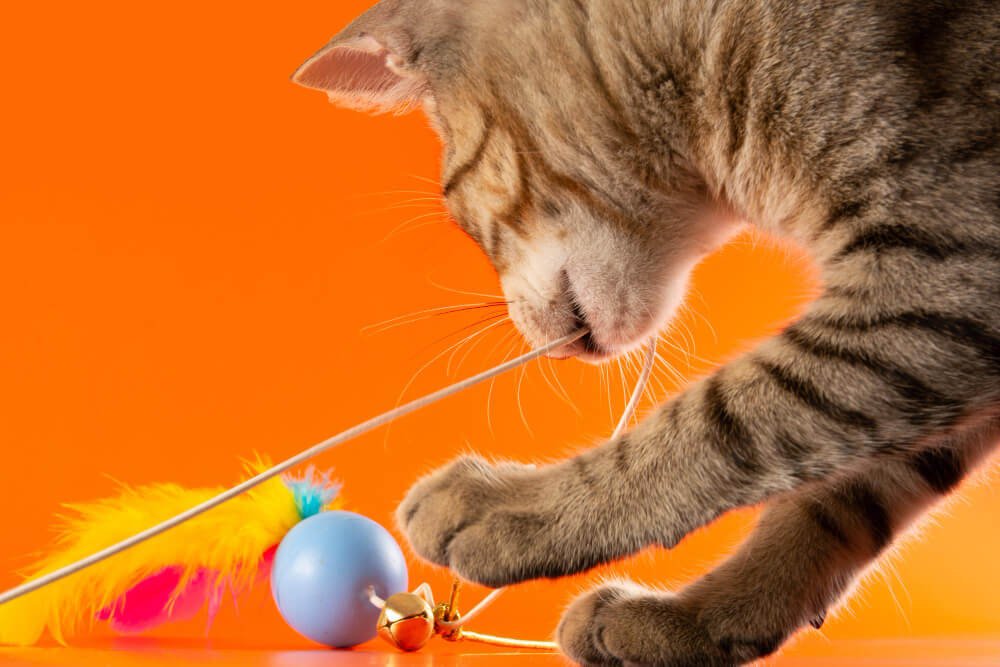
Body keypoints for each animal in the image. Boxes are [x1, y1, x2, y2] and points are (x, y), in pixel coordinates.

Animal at [292, 2, 996, 664]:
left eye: (459, 214)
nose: (536, 343)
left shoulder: (940, 271)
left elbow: (716, 421)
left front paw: (517, 508)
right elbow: (835, 505)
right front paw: (700, 621)